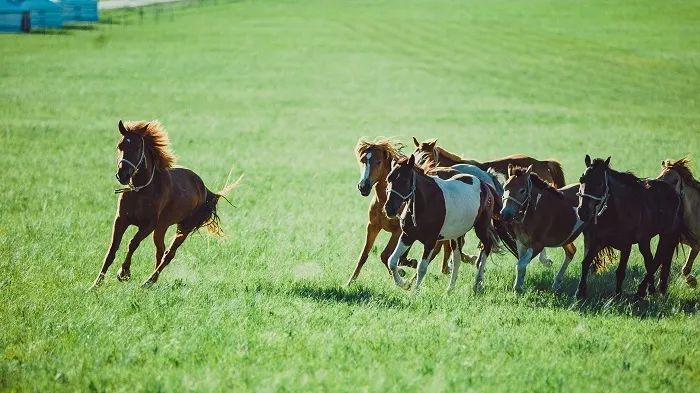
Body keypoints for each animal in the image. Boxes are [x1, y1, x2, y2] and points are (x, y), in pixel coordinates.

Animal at [89, 119, 238, 288]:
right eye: (119, 146)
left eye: (137, 147)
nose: (123, 175)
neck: (141, 190)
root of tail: (203, 187)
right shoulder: (121, 220)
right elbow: (112, 248)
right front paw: (95, 284)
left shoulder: (148, 225)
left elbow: (132, 243)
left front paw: (124, 273)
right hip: (162, 227)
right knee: (161, 251)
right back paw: (151, 281)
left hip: (183, 228)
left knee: (168, 254)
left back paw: (148, 281)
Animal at [382, 155, 504, 292]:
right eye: (389, 178)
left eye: (404, 179)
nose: (389, 209)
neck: (426, 203)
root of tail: (486, 185)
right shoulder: (407, 236)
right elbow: (392, 261)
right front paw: (404, 284)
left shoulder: (430, 241)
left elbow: (421, 268)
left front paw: (415, 291)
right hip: (456, 236)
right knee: (457, 259)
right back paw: (450, 289)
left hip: (481, 228)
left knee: (486, 248)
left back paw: (478, 282)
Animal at [576, 155, 684, 298]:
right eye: (581, 180)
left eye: (599, 183)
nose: (582, 212)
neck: (616, 213)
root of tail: (675, 193)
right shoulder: (598, 241)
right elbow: (586, 263)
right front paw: (580, 292)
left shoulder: (626, 245)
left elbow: (620, 271)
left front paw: (617, 295)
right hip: (645, 240)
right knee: (650, 260)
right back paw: (650, 289)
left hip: (667, 235)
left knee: (657, 260)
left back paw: (641, 290)